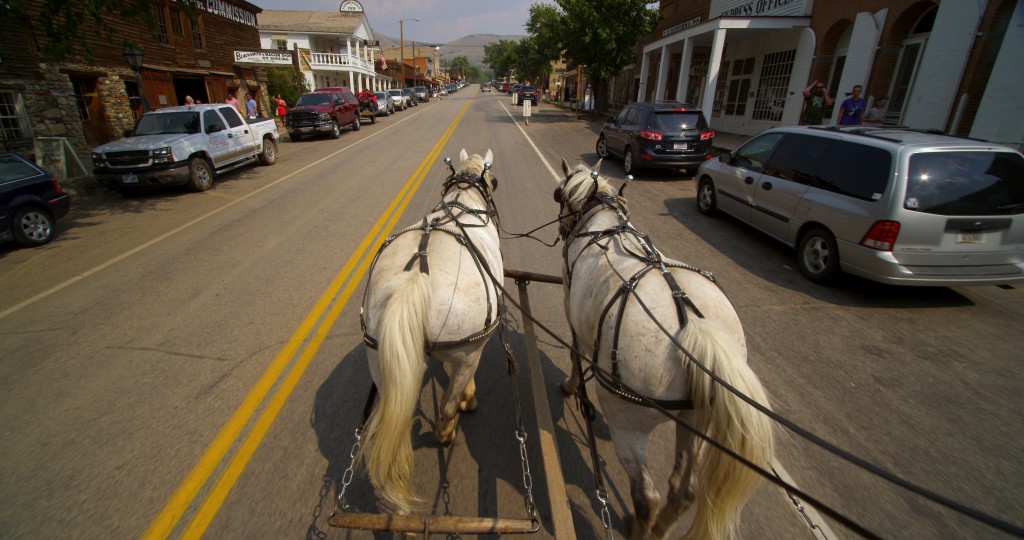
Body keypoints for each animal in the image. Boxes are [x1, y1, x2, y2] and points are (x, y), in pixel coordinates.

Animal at [360, 148, 503, 516]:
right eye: (494, 180)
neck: (463, 201)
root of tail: (414, 280)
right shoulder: (470, 349)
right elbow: (457, 386)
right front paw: (468, 398)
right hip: (468, 349)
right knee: (449, 405)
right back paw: (448, 430)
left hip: (379, 359)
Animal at [557, 158, 770, 536]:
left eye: (559, 195)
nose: (563, 228)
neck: (600, 221)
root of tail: (694, 330)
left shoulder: (570, 303)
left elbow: (574, 352)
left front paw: (571, 386)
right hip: (697, 416)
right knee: (683, 491)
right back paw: (659, 529)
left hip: (630, 420)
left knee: (647, 498)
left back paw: (643, 524)